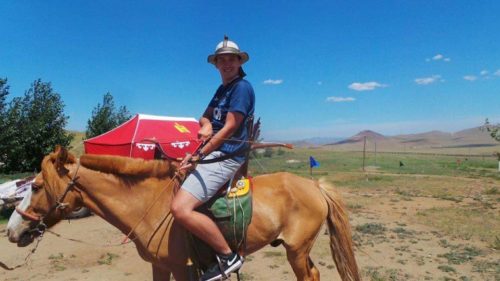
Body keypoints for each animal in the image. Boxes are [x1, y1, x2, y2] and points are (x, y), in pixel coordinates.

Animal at [6, 147, 360, 280]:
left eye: (36, 186)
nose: (11, 230)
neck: (148, 205)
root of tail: (314, 186)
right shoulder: (160, 266)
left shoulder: (180, 267)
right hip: (297, 249)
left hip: (296, 250)